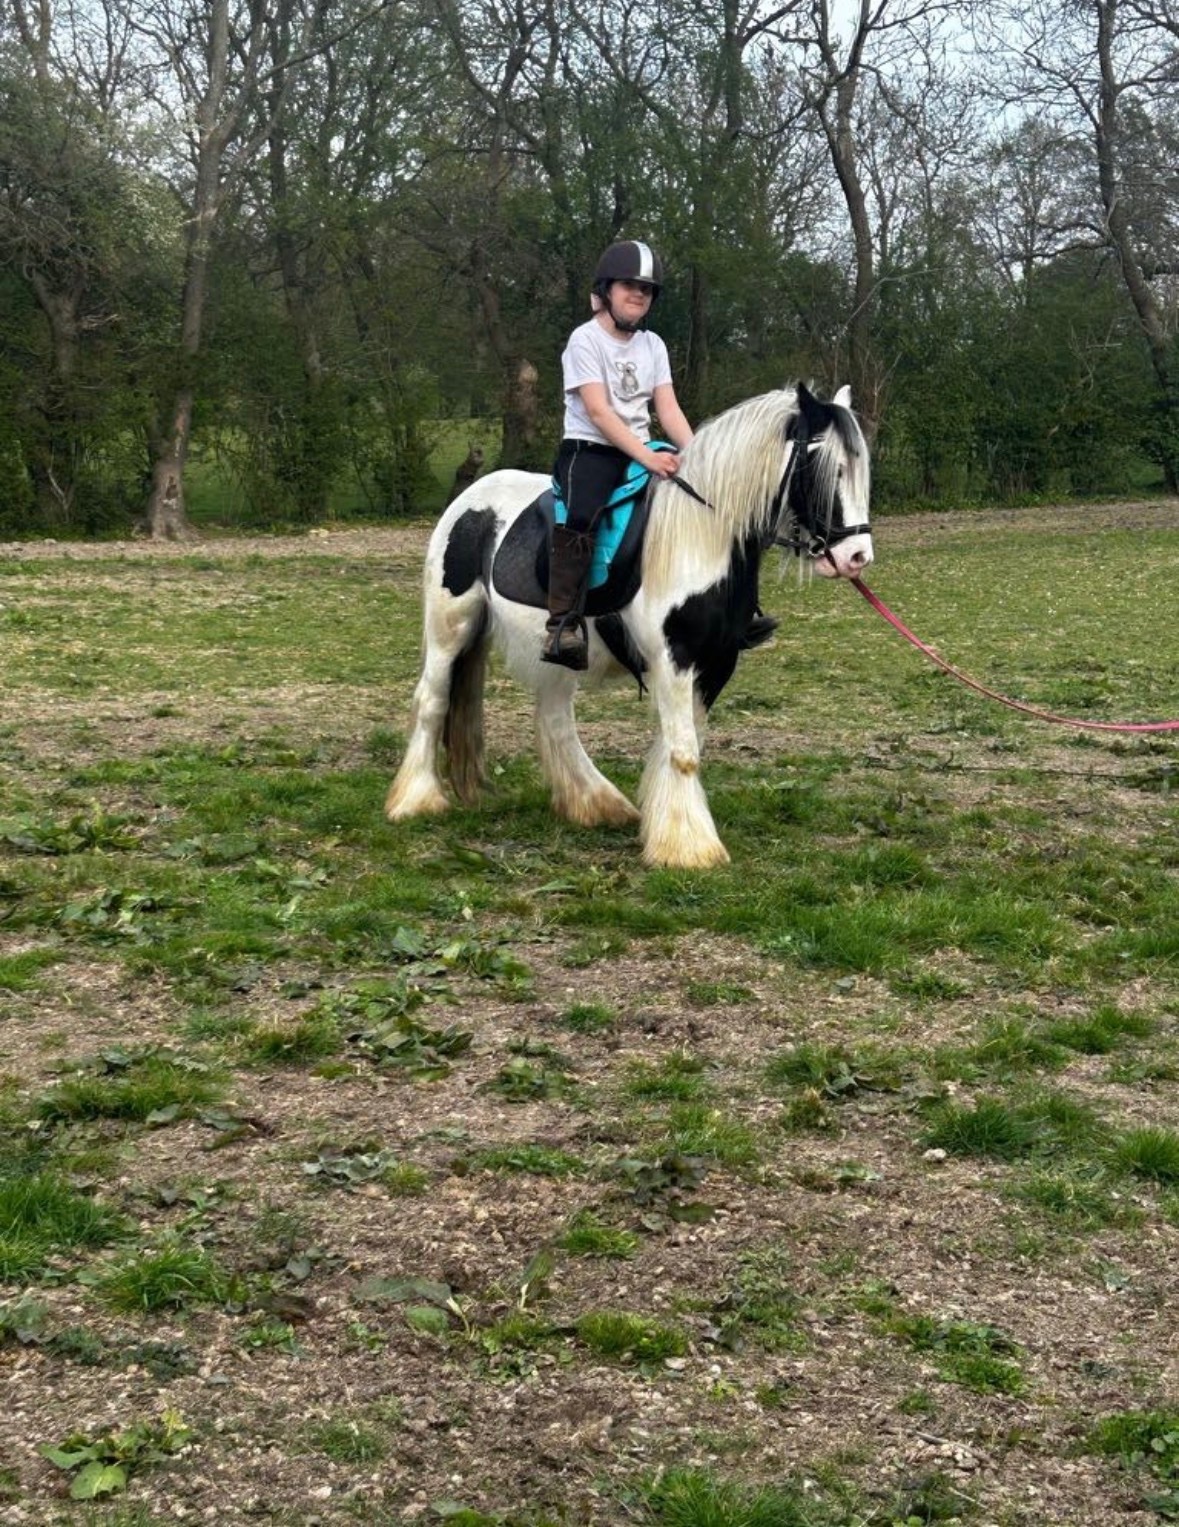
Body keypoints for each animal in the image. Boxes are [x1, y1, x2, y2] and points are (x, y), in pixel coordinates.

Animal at [385, 382, 873, 869]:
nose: (856, 557)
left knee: (555, 718)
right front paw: (690, 848)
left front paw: (667, 828)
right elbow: (683, 751)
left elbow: (682, 744)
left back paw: (595, 803)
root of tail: (468, 500)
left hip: (555, 649)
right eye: (825, 468)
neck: (700, 536)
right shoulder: (674, 658)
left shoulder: (717, 663)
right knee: (432, 700)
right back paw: (416, 800)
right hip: (451, 629)